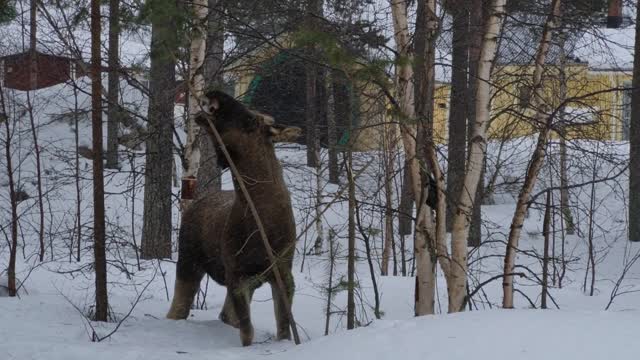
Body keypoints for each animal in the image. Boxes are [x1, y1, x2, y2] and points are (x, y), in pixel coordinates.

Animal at [168, 90, 302, 346]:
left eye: (250, 120)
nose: (216, 93)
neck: (264, 223)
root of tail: (196, 202)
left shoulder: (281, 274)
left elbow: (283, 329)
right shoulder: (237, 275)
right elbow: (247, 332)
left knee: (224, 315)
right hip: (189, 261)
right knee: (178, 309)